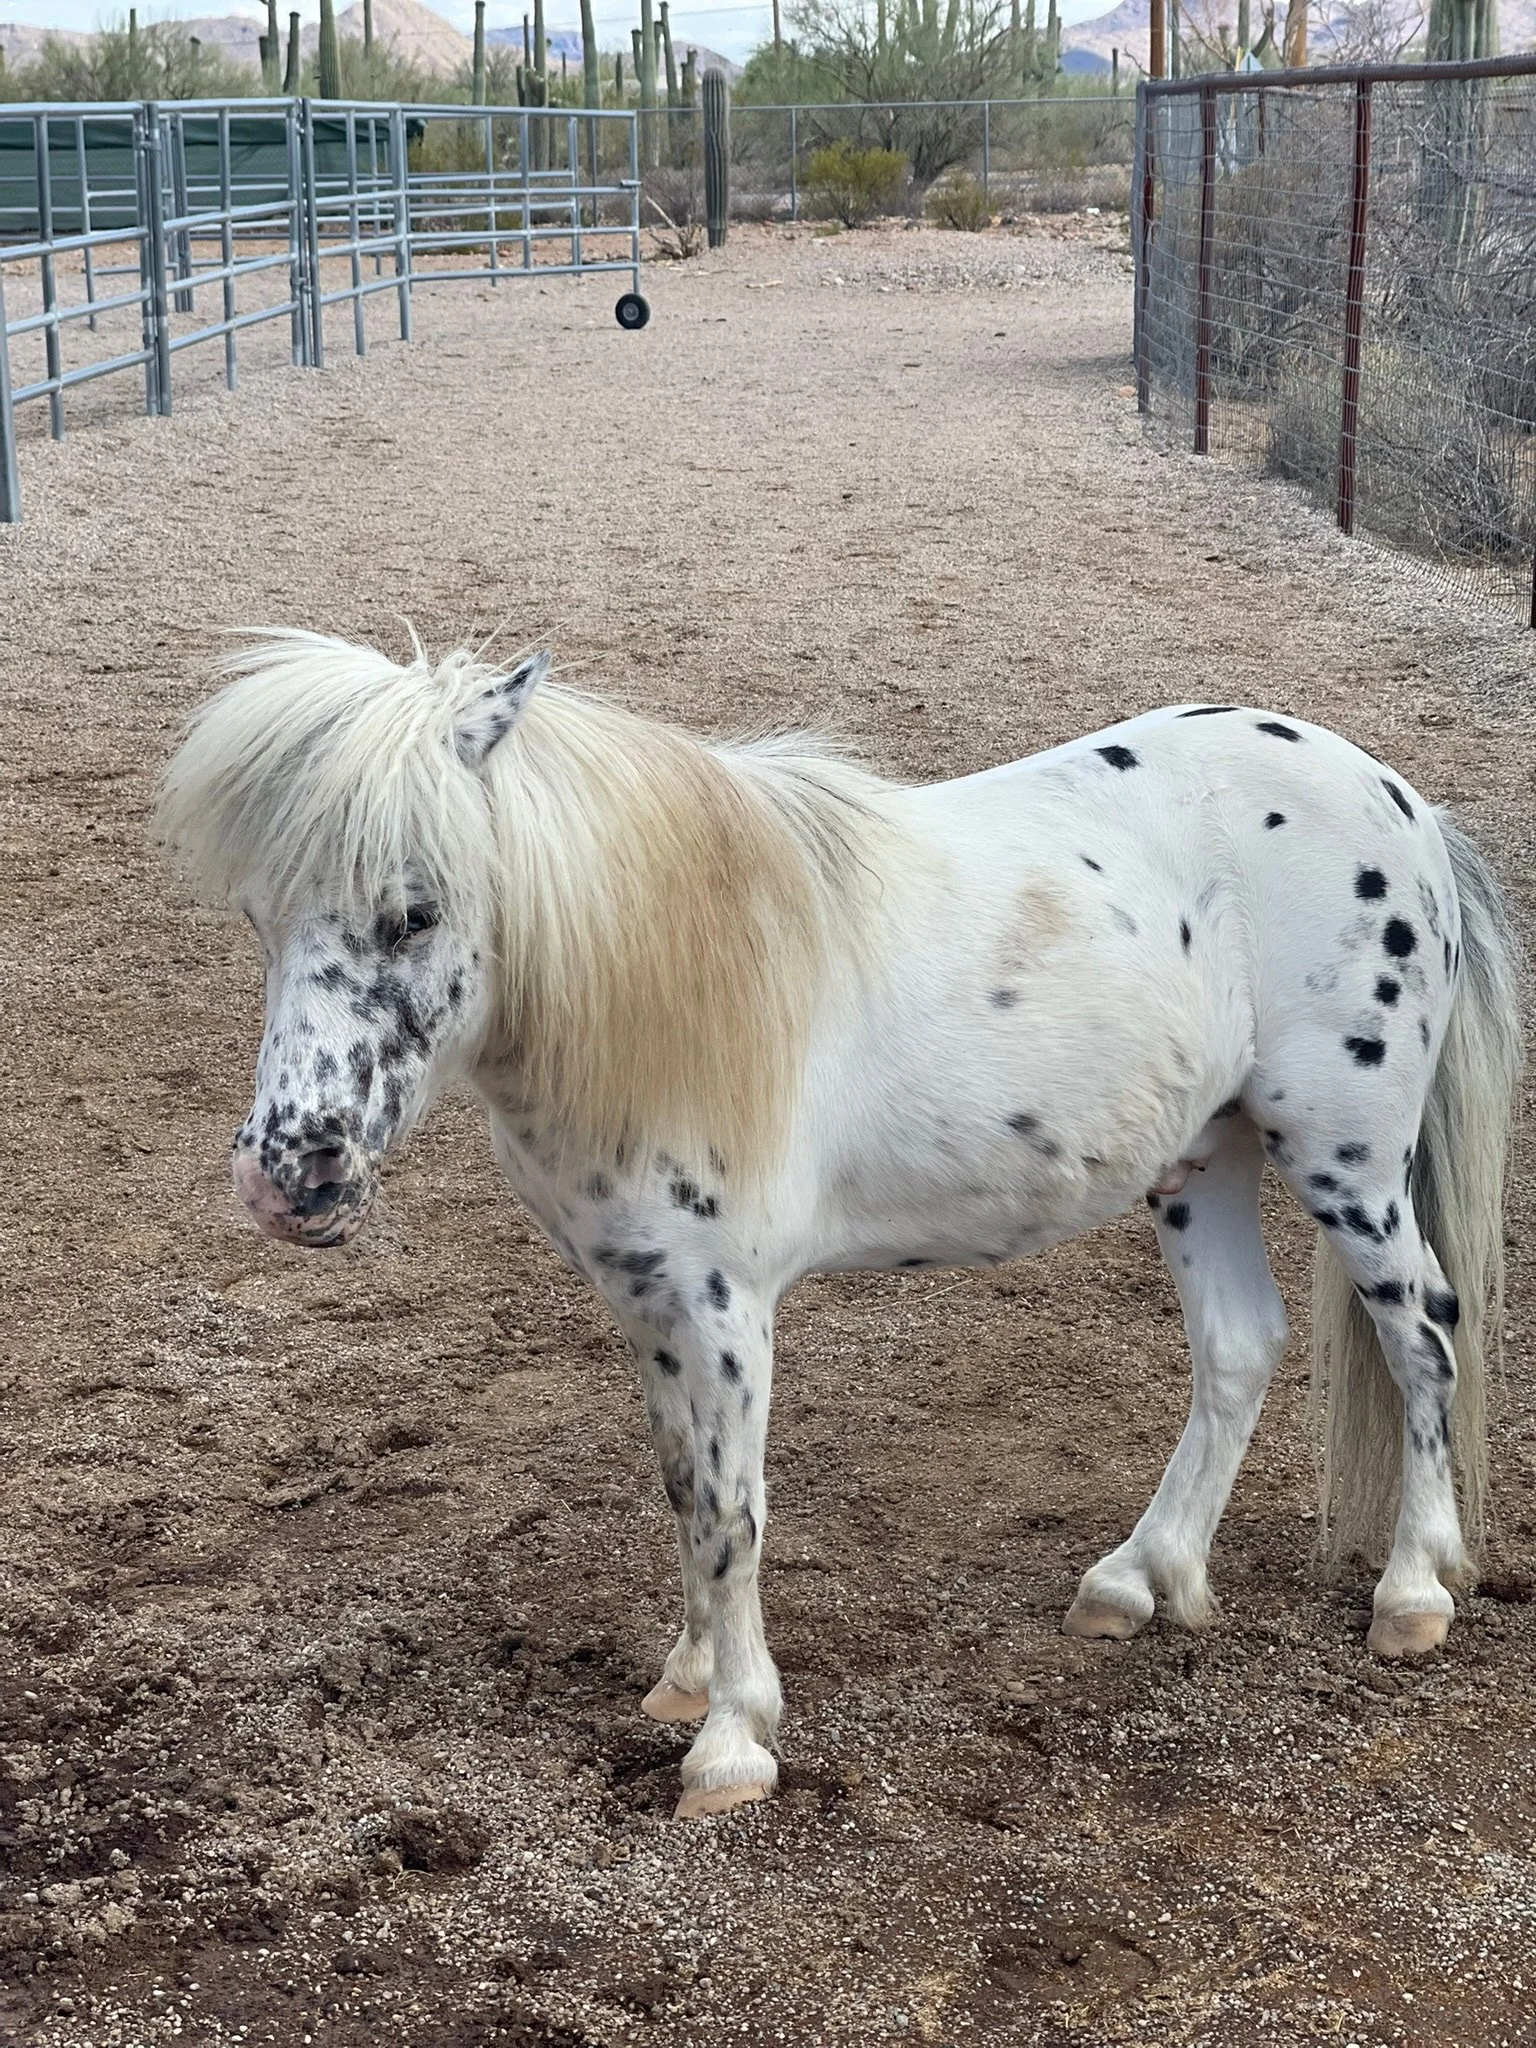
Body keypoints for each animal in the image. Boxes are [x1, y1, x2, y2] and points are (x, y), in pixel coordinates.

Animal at [157, 631, 1521, 1820]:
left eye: (417, 911)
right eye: (260, 916)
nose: (289, 1177)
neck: (664, 986)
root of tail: (1398, 798)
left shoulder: (721, 1304)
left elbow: (729, 1510)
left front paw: (732, 1743)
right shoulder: (645, 1296)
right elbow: (680, 1485)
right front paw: (688, 1679)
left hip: (1346, 1157)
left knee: (1424, 1335)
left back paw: (1412, 1591)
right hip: (1205, 1153)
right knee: (1240, 1347)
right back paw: (1135, 1580)